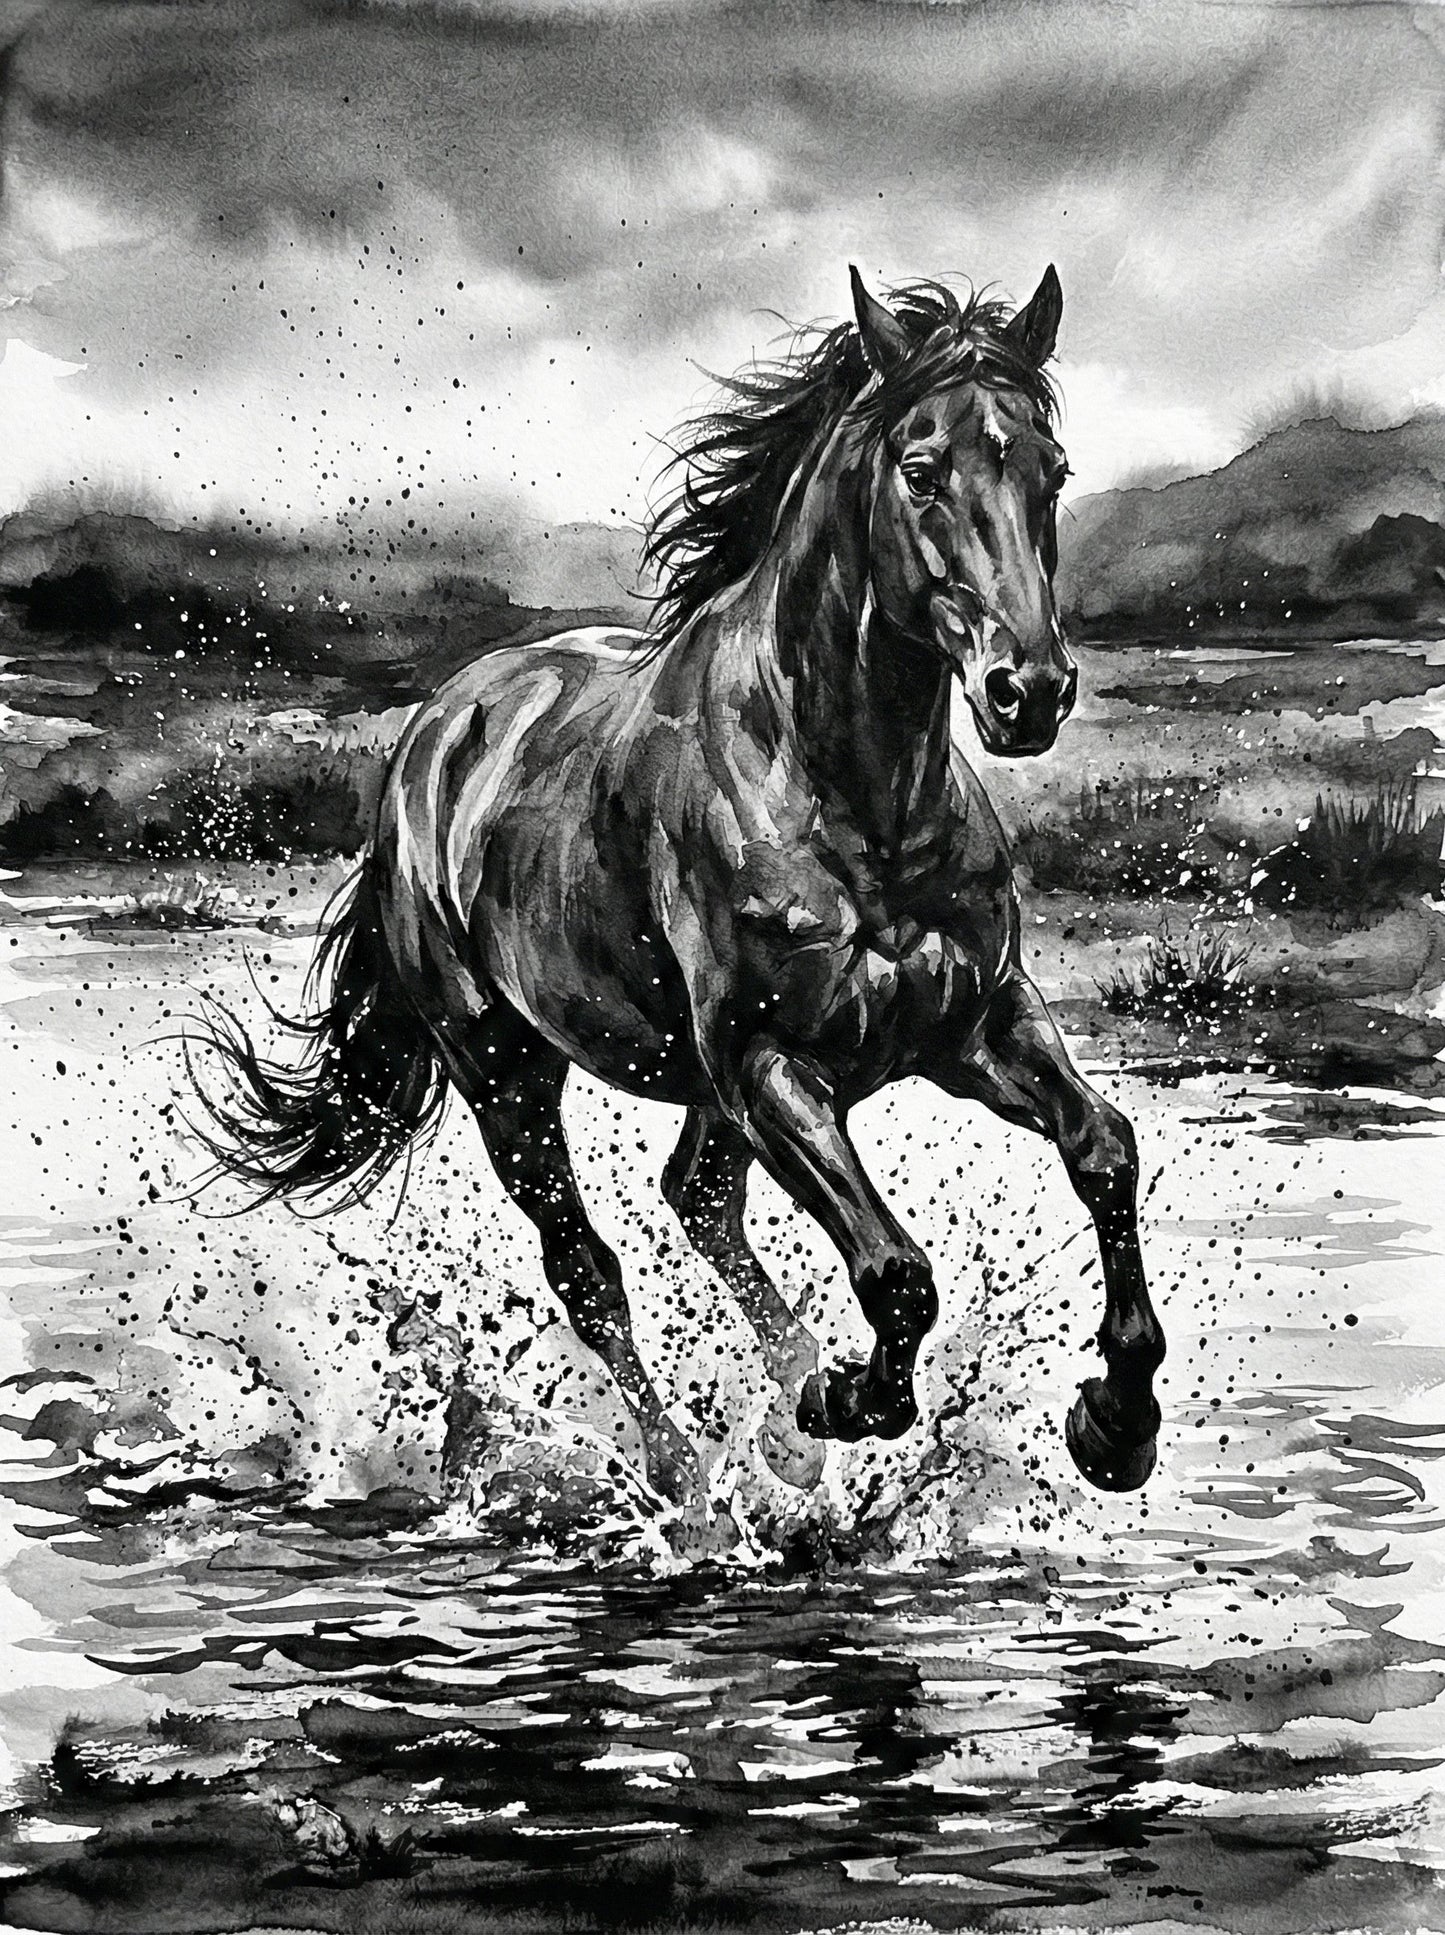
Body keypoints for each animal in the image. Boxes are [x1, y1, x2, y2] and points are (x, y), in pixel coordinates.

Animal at [195, 265, 1165, 1505]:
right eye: (920, 470)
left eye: (1051, 469)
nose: (1027, 692)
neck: (851, 803)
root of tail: (434, 731)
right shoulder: (769, 1066)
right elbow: (896, 1274)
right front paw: (846, 1399)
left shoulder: (976, 1024)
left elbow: (1103, 1151)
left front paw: (1113, 1424)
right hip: (506, 1077)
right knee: (588, 1270)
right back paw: (685, 1479)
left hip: (694, 1087)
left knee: (696, 1199)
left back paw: (781, 1433)